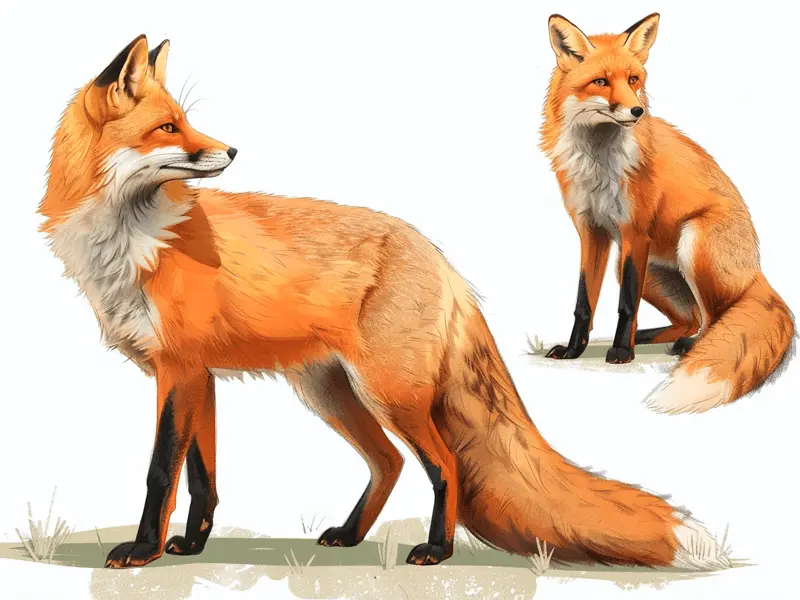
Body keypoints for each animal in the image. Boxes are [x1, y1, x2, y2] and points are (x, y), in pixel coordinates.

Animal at [38, 34, 730, 570]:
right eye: (167, 127)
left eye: (184, 121)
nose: (231, 151)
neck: (132, 242)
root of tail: (441, 260)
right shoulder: (195, 374)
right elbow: (202, 477)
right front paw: (189, 545)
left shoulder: (179, 372)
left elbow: (162, 471)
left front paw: (142, 550)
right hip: (332, 393)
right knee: (390, 463)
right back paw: (350, 535)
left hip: (386, 392)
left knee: (441, 463)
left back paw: (437, 550)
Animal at [540, 13, 795, 414]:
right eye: (601, 82)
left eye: (633, 80)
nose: (637, 111)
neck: (599, 162)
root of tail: (758, 274)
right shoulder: (592, 232)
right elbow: (584, 302)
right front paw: (574, 349)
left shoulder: (634, 231)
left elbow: (625, 303)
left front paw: (621, 351)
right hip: (648, 271)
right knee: (691, 319)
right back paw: (653, 335)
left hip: (693, 243)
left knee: (715, 318)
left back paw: (686, 347)